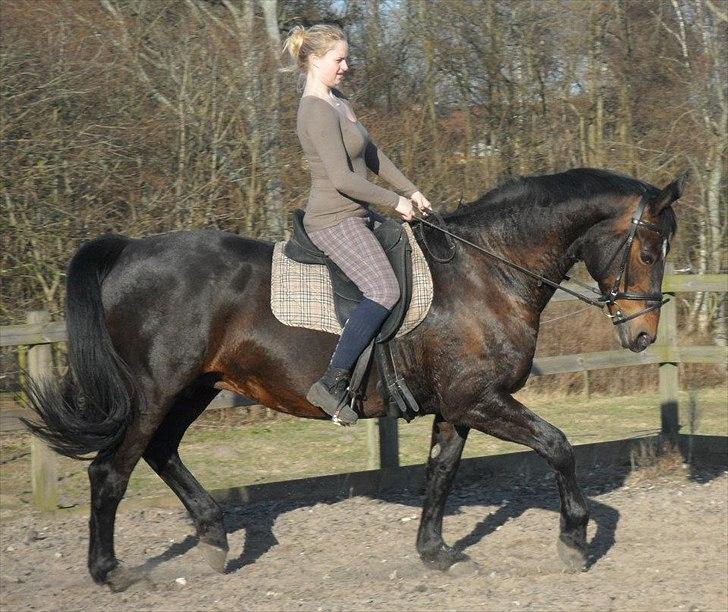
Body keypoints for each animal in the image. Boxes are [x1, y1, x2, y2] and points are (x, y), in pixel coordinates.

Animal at [22, 166, 684, 588]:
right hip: (156, 391)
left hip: (193, 389)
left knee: (159, 452)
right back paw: (112, 572)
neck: (485, 272)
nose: (643, 336)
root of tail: (129, 250)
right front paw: (573, 540)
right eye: (650, 250)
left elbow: (440, 474)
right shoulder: (481, 399)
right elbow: (558, 445)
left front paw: (437, 555)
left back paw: (212, 540)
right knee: (112, 471)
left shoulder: (458, 407)